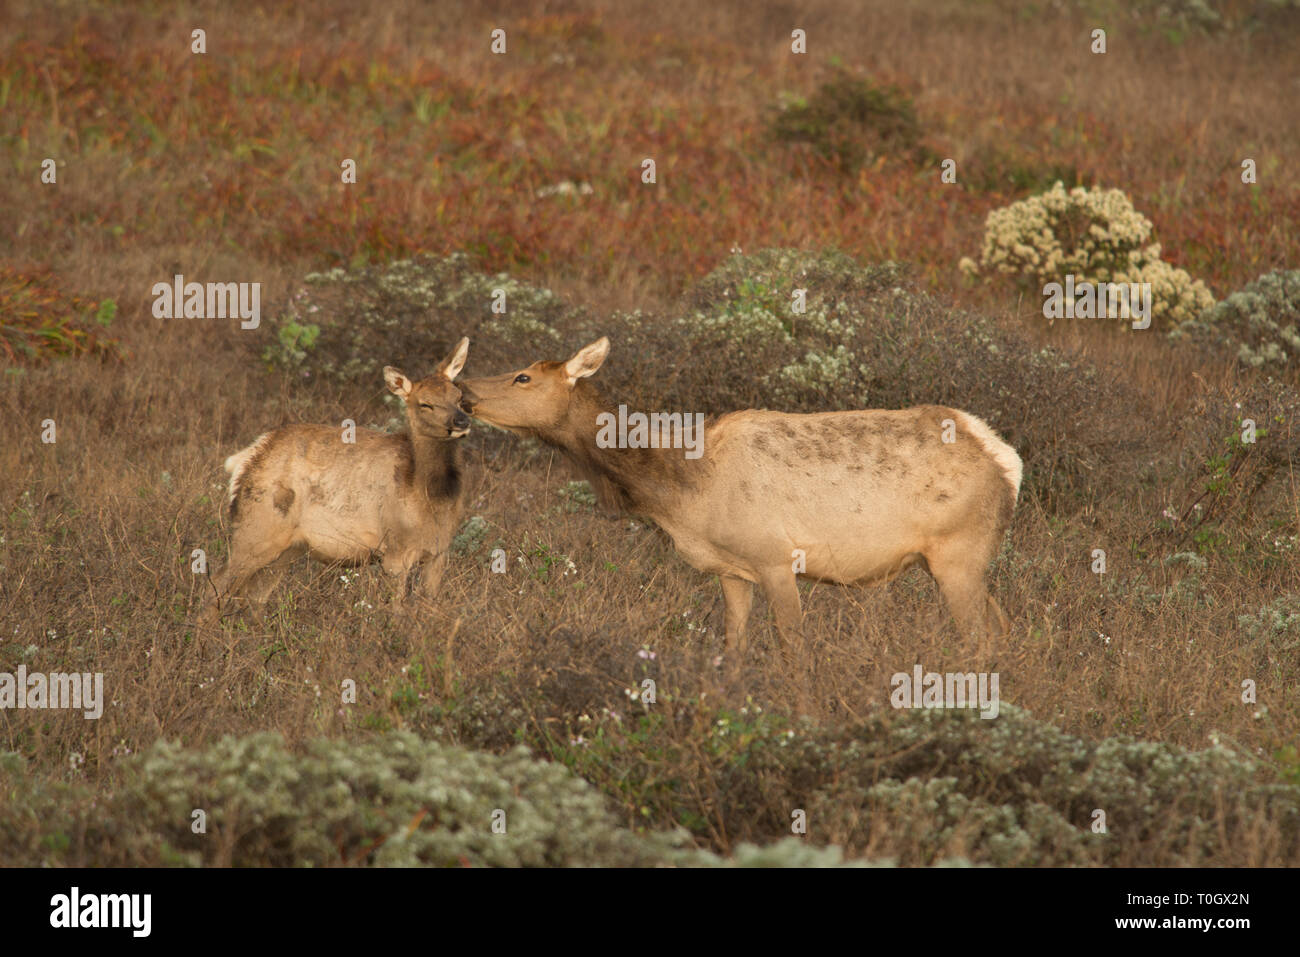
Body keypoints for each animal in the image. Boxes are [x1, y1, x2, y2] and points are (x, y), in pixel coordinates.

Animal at [200, 340, 470, 624]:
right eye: (425, 404)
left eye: (458, 396)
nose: (461, 420)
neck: (428, 497)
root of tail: (246, 458)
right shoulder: (396, 549)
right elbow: (396, 610)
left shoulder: (440, 551)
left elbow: (432, 607)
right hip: (255, 526)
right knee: (217, 584)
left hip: (288, 547)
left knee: (256, 594)